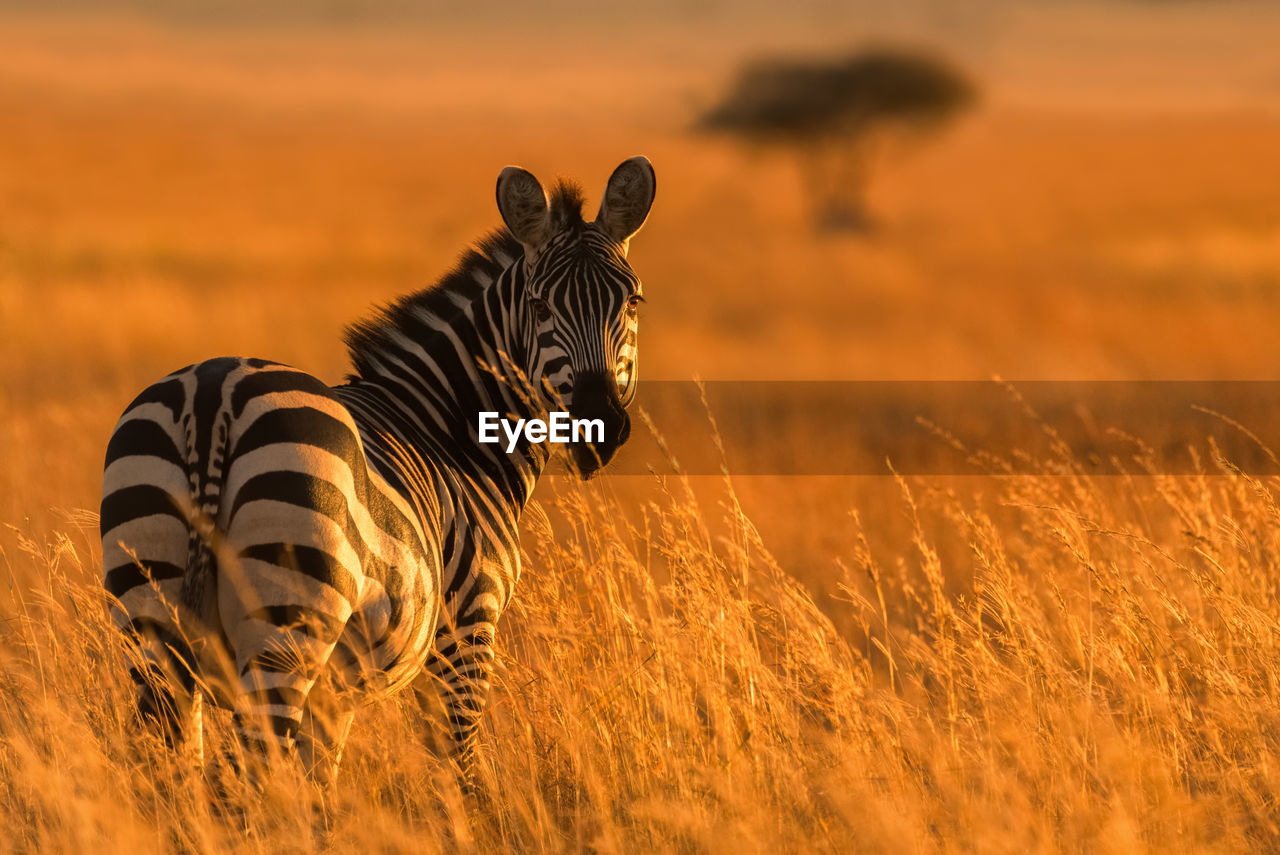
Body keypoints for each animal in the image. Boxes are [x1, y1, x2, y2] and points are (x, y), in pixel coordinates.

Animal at [98, 155, 655, 788]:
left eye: (632, 303)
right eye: (540, 308)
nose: (598, 424)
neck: (448, 427)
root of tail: (214, 395)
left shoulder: (338, 691)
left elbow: (320, 784)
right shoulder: (468, 626)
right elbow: (457, 769)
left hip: (150, 616)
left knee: (167, 768)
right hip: (286, 623)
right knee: (252, 767)